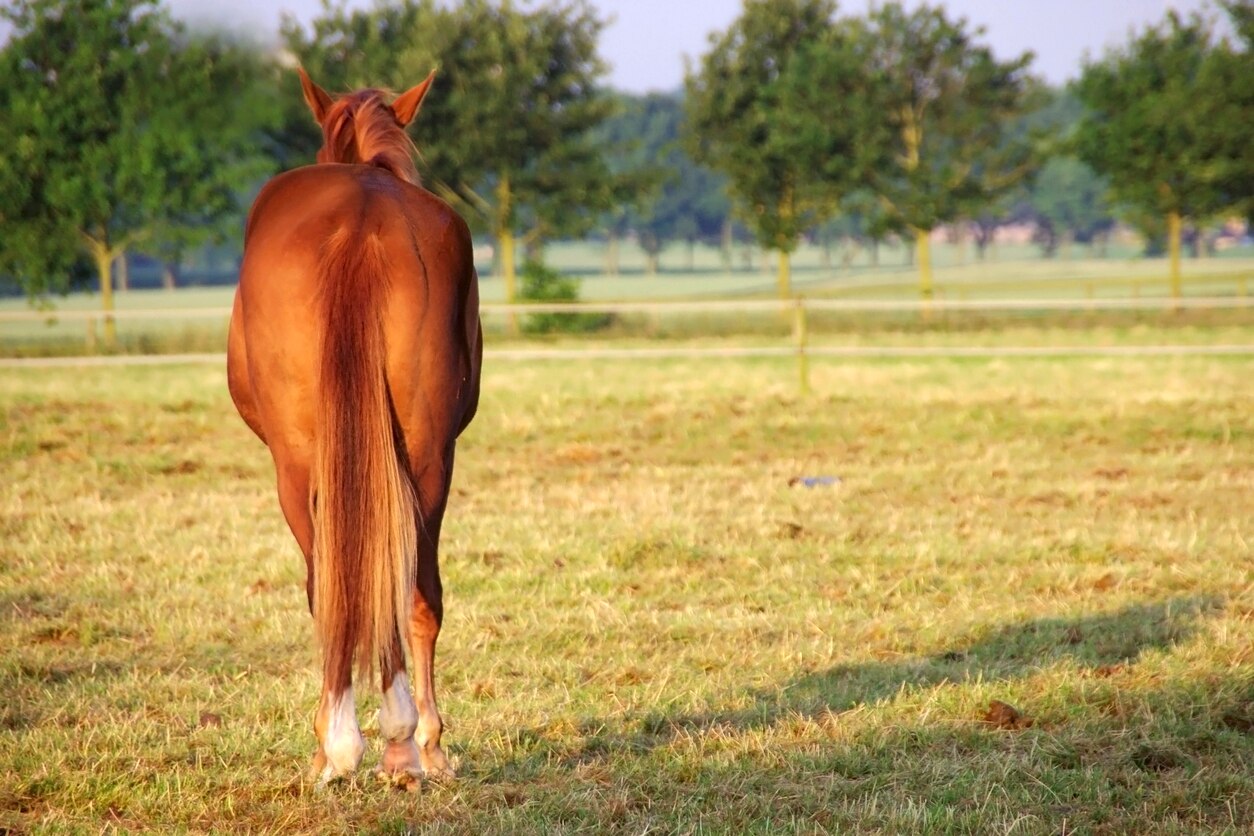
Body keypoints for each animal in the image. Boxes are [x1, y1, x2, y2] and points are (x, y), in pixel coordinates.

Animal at [226, 68, 482, 788]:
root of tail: (361, 223)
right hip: (428, 457)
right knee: (414, 591)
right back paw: (404, 744)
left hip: (296, 466)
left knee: (336, 590)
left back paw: (361, 744)